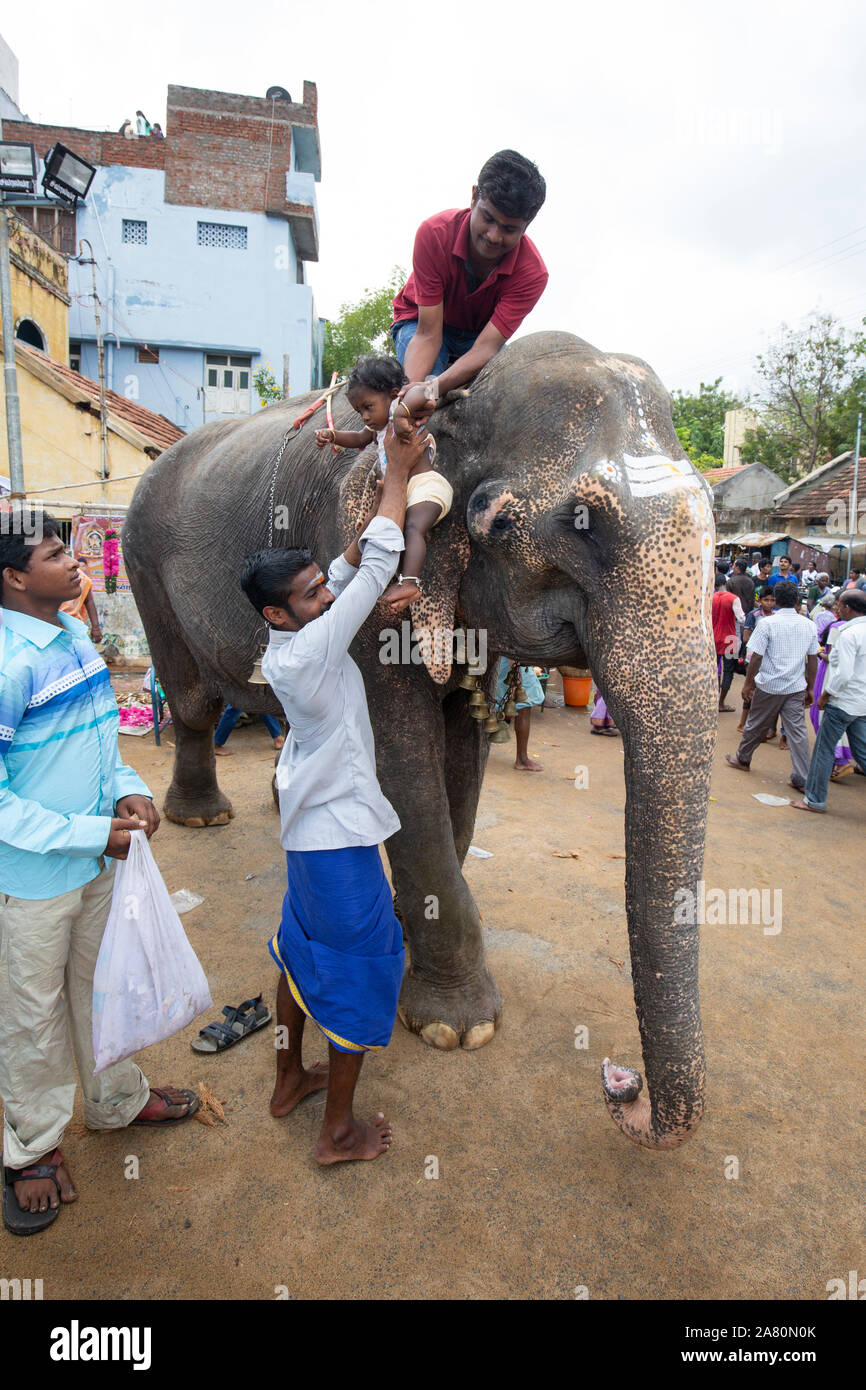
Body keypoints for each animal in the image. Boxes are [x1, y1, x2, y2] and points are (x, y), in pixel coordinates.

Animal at [123, 330, 717, 1145]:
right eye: (503, 523)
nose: (619, 1089)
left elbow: (460, 754)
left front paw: (412, 934)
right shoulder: (355, 566)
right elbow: (401, 756)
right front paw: (456, 1028)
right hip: (142, 560)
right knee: (187, 698)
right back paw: (202, 818)